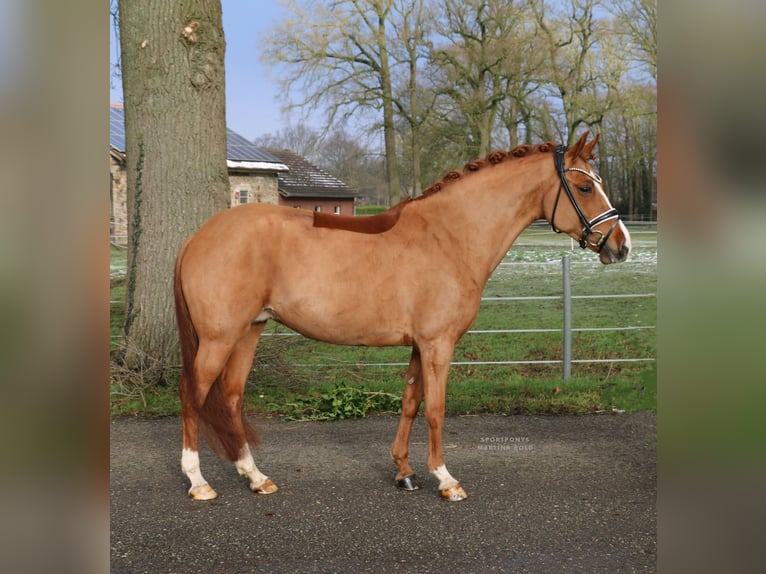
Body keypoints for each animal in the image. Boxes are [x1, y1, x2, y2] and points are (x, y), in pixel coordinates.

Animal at [177, 133, 632, 502]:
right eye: (584, 186)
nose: (621, 246)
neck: (449, 236)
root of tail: (197, 237)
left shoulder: (419, 346)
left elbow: (411, 403)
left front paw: (404, 472)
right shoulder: (438, 344)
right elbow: (437, 409)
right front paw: (446, 480)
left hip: (249, 332)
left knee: (231, 397)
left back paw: (255, 476)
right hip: (219, 338)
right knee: (193, 394)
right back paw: (198, 482)